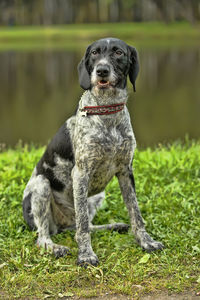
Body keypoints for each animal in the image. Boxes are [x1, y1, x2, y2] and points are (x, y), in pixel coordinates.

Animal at [23, 37, 164, 264]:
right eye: (95, 53)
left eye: (118, 52)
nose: (102, 70)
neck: (107, 111)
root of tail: (62, 224)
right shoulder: (81, 174)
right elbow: (82, 227)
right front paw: (86, 254)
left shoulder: (126, 171)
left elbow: (136, 213)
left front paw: (146, 242)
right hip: (41, 185)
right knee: (45, 236)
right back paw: (55, 247)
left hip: (97, 196)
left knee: (85, 225)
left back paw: (114, 226)